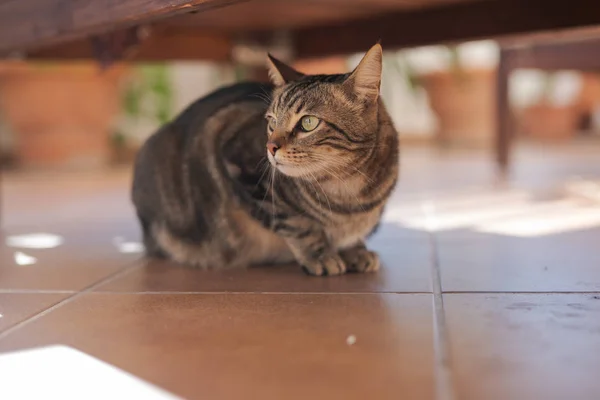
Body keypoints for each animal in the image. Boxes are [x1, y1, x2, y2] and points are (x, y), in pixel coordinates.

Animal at [134, 43, 400, 276]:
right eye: (272, 121)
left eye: (308, 122)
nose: (270, 147)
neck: (347, 191)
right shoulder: (237, 159)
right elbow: (297, 223)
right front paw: (321, 255)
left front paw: (355, 250)